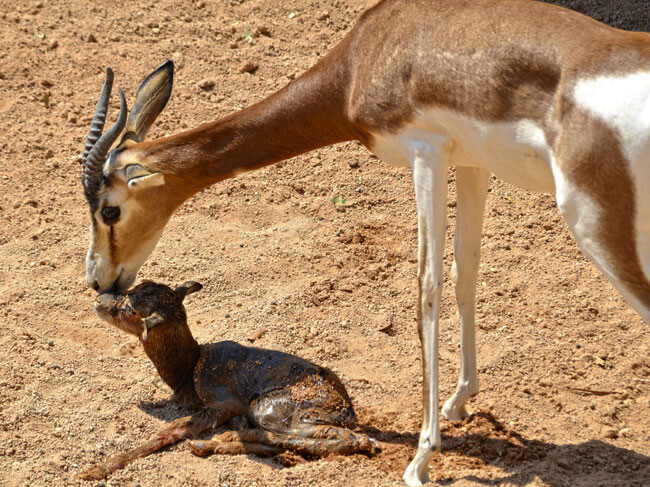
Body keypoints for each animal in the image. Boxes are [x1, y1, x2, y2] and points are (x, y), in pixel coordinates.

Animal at [80, 282, 374, 480]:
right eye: (133, 287)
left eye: (130, 309)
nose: (100, 299)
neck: (187, 370)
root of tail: (348, 412)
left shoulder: (223, 402)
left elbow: (171, 429)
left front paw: (94, 470)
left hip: (274, 408)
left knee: (351, 440)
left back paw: (220, 439)